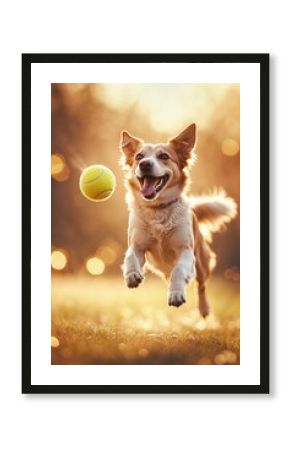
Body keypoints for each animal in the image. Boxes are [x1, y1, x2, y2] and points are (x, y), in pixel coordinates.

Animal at [119, 123, 237, 316]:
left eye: (164, 156)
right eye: (139, 156)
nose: (144, 164)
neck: (158, 209)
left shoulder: (186, 251)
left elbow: (179, 270)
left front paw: (175, 294)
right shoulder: (137, 245)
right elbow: (129, 257)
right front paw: (131, 275)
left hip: (202, 263)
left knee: (201, 285)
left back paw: (204, 308)